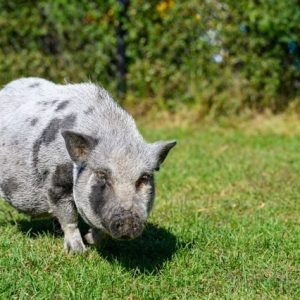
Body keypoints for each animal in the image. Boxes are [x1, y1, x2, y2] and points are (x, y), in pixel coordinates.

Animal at [0, 77, 176, 253]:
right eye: (102, 175)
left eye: (144, 178)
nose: (128, 220)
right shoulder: (56, 184)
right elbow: (69, 219)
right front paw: (78, 252)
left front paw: (89, 240)